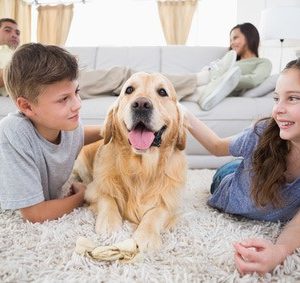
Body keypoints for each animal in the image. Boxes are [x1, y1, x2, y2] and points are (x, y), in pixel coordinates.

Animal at [73, 72, 186, 252]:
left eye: (162, 92)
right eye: (129, 90)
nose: (141, 104)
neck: (141, 168)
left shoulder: (173, 203)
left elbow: (157, 212)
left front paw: (147, 235)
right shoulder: (93, 189)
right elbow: (107, 198)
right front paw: (110, 224)